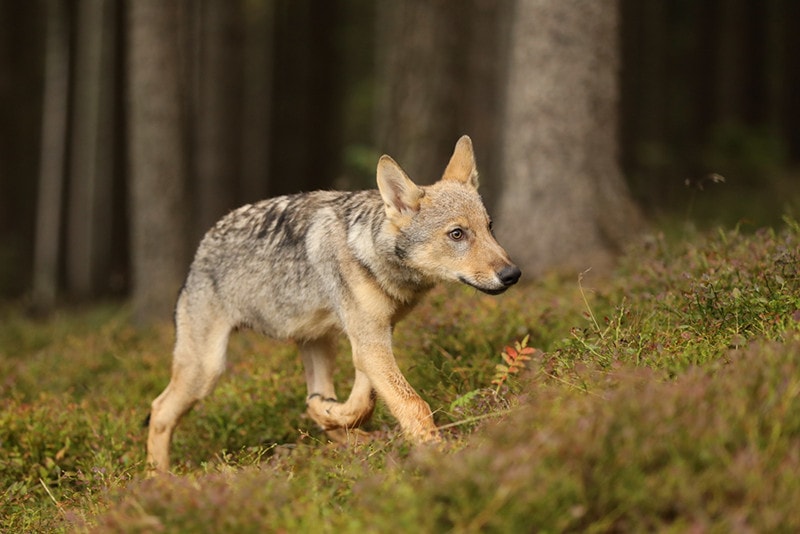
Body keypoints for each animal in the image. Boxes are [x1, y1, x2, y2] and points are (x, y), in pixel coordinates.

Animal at [146, 135, 520, 472]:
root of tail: (201, 248)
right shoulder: (369, 341)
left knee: (313, 396)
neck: (373, 255)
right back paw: (158, 481)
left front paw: (336, 415)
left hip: (318, 345)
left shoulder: (374, 337)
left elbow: (365, 401)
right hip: (206, 370)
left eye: (489, 227)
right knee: (159, 410)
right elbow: (412, 403)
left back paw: (334, 422)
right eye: (457, 234)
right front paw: (437, 454)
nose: (512, 274)